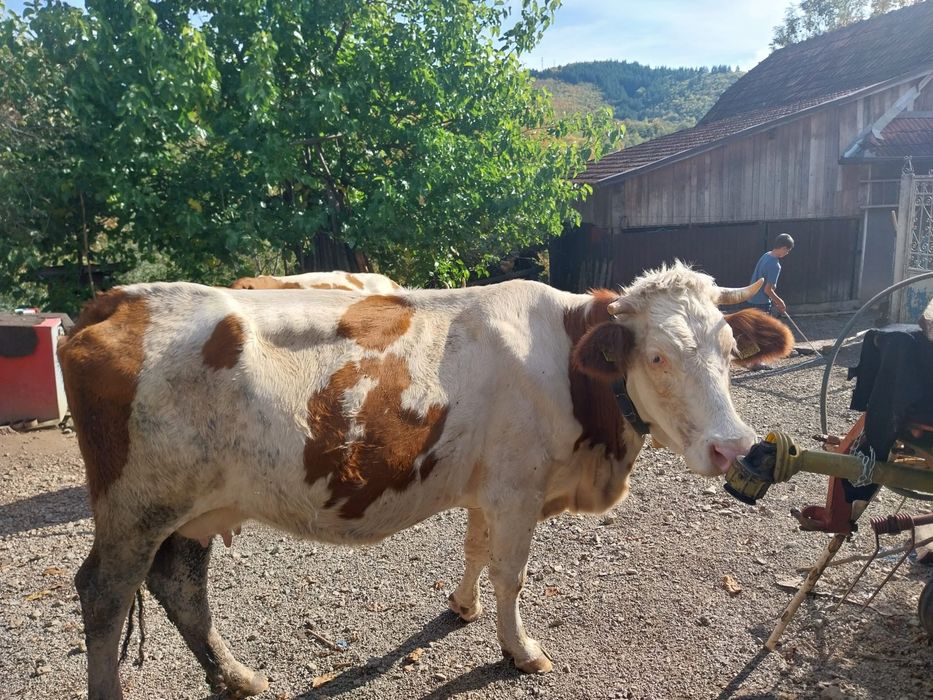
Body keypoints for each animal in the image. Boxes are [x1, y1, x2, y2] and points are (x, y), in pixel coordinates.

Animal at [58, 263, 792, 699]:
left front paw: (462, 608)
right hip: (136, 505)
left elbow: (474, 549)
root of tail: (120, 298)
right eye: (657, 357)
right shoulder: (518, 489)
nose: (733, 447)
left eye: (730, 351)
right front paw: (519, 650)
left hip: (192, 506)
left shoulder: (489, 485)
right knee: (105, 593)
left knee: (179, 584)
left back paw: (238, 678)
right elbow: (510, 573)